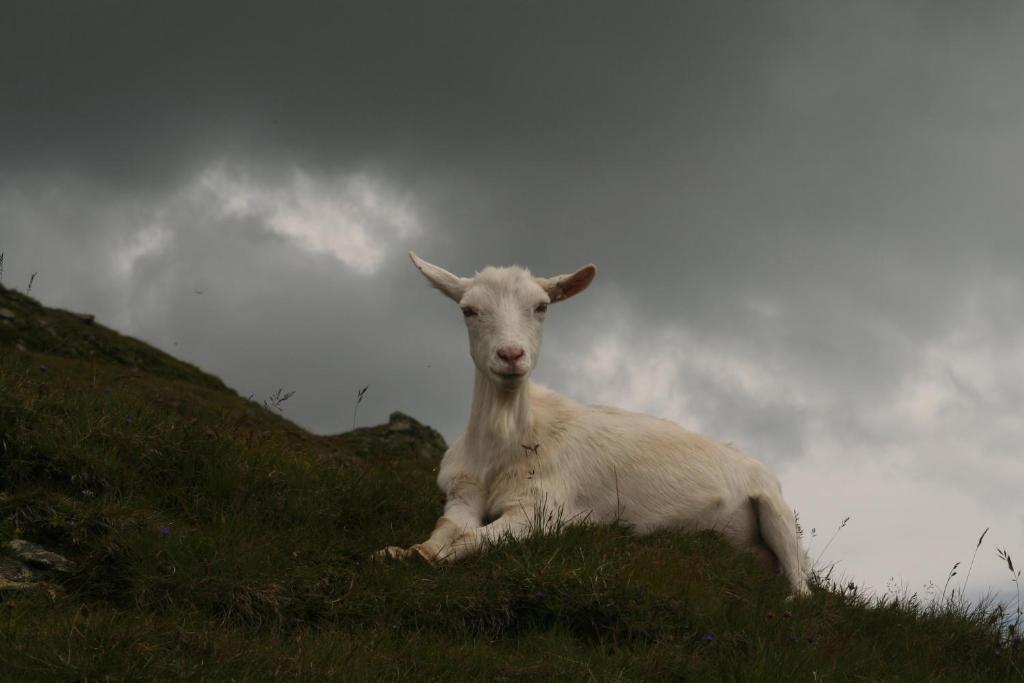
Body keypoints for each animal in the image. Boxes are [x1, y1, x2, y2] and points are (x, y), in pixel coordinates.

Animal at [380, 252, 811, 598]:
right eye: (468, 310)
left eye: (542, 306)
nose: (511, 355)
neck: (504, 444)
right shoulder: (461, 493)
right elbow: (446, 527)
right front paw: (403, 551)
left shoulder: (541, 509)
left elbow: (470, 537)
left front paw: (425, 558)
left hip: (777, 514)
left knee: (802, 587)